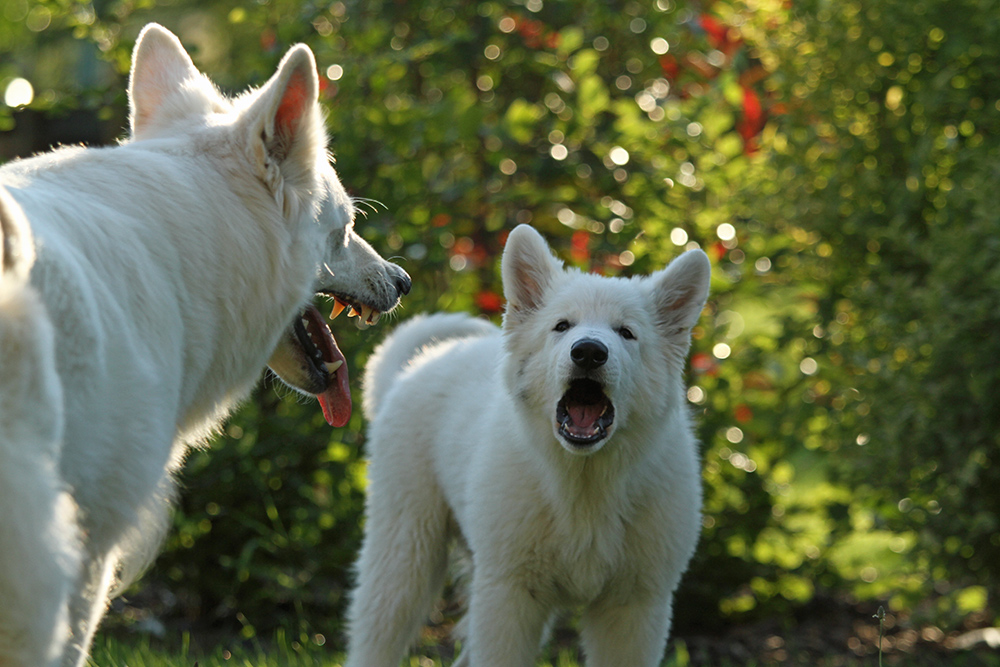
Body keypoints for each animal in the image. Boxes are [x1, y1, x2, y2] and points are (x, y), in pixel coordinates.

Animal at [346, 224, 710, 666]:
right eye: (562, 326)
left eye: (626, 332)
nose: (589, 352)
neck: (584, 482)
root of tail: (420, 362)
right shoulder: (509, 595)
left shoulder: (635, 605)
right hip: (405, 552)